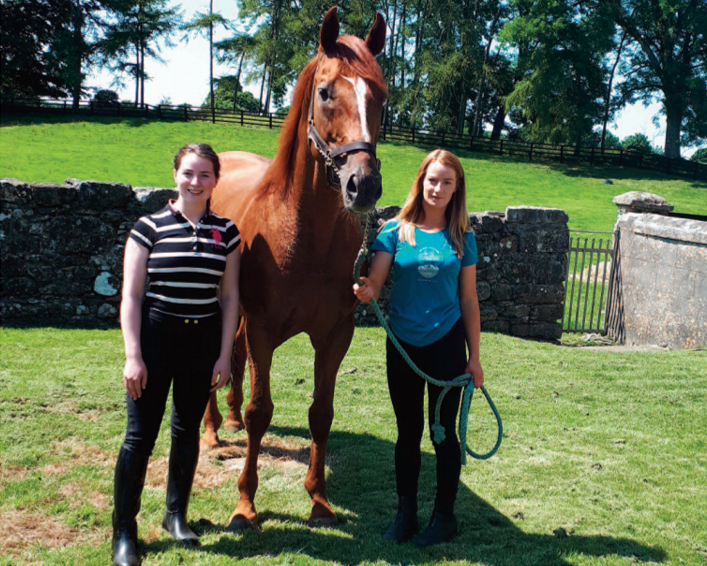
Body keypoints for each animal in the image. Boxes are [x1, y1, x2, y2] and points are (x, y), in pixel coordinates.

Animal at [201, 7, 387, 530]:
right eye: (325, 92)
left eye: (382, 97)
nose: (362, 185)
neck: (303, 235)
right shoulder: (263, 326)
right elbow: (261, 410)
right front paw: (245, 504)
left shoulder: (335, 334)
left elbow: (321, 412)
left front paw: (318, 499)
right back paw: (212, 430)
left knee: (234, 358)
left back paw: (227, 418)